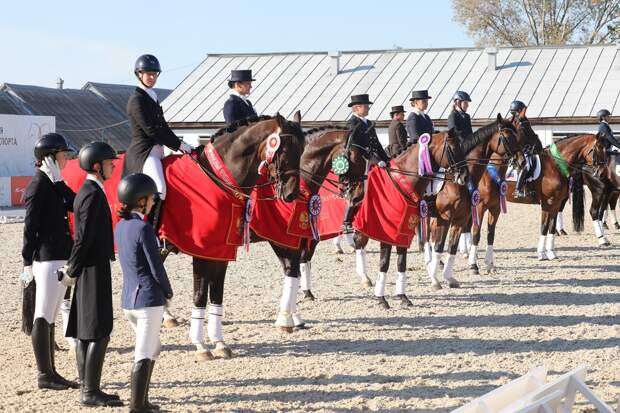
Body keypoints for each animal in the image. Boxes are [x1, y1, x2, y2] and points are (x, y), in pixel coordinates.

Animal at [351, 129, 469, 309]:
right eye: (453, 148)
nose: (465, 176)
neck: (401, 186)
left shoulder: (404, 232)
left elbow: (401, 262)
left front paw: (403, 296)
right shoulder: (387, 233)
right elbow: (384, 263)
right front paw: (381, 298)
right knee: (359, 243)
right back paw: (365, 278)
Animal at [425, 115, 523, 289]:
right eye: (507, 137)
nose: (522, 161)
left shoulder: (470, 214)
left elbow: (456, 245)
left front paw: (450, 277)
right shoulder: (456, 214)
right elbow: (447, 243)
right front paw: (437, 279)